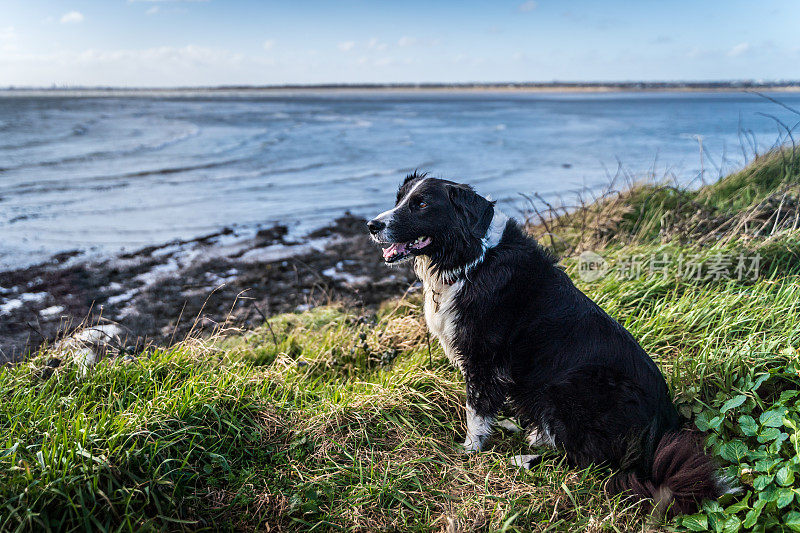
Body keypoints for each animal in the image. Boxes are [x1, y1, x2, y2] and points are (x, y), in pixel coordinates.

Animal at [368, 171, 724, 516]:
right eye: (399, 200)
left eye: (422, 204)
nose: (372, 225)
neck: (472, 258)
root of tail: (662, 430)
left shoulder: (481, 358)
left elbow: (476, 410)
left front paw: (469, 451)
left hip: (568, 385)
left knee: (590, 460)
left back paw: (524, 459)